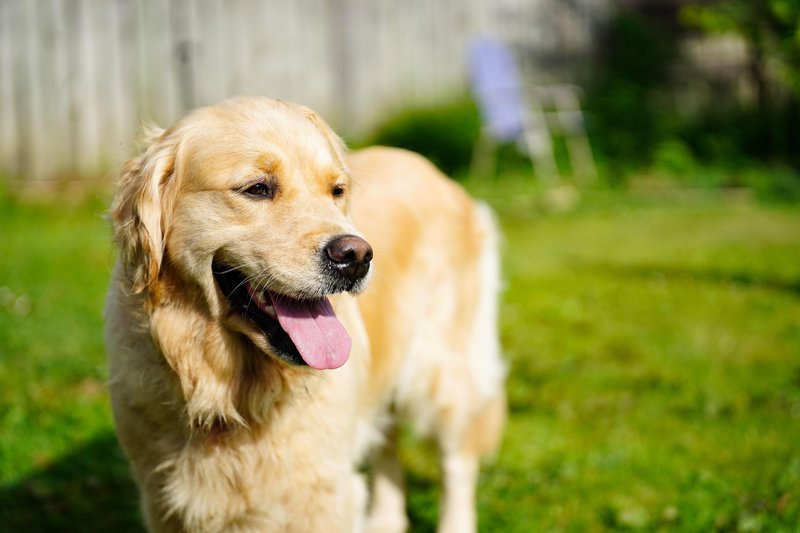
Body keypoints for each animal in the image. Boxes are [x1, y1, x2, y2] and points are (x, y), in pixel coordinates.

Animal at [106, 96, 506, 532]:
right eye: (257, 188)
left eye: (337, 191)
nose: (356, 256)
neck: (229, 391)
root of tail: (431, 169)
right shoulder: (162, 501)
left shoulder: (322, 494)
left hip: (441, 373)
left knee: (458, 462)